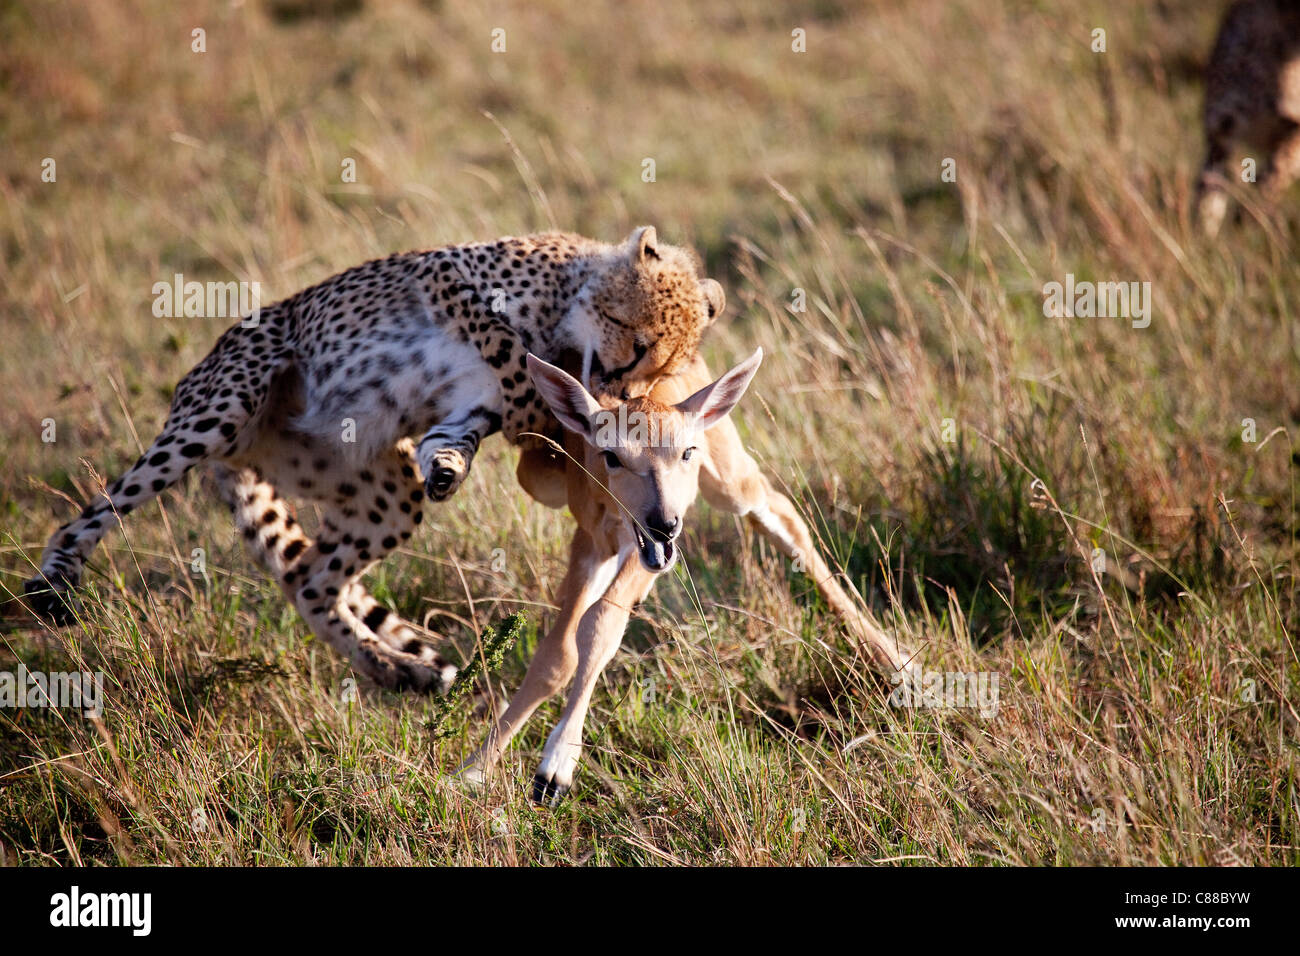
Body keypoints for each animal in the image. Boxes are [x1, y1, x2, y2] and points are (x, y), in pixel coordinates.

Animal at [22, 227, 722, 691]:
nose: (618, 388)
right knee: (94, 510)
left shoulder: (468, 405)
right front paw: (538, 414)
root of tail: (243, 448)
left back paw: (396, 668)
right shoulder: (447, 280)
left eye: (659, 367)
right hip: (220, 405)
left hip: (383, 497)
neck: (567, 306)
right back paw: (51, 582)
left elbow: (463, 430)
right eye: (637, 342)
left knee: (309, 579)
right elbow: (508, 351)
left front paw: (453, 466)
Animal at [1196, 0, 1300, 238]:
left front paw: (1247, 214)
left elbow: (1276, 172)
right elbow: (1210, 188)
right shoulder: (1221, 128)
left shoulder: (1295, 131)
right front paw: (1202, 235)